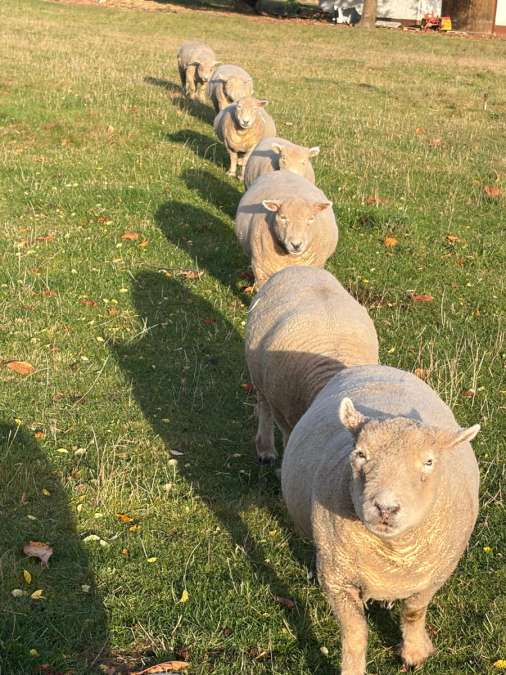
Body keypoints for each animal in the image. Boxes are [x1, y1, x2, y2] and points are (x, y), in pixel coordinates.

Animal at [282, 364, 480, 674]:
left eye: (429, 461)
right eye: (360, 454)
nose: (385, 508)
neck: (394, 552)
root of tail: (376, 366)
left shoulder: (435, 575)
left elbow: (413, 612)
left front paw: (414, 652)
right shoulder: (338, 580)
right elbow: (355, 633)